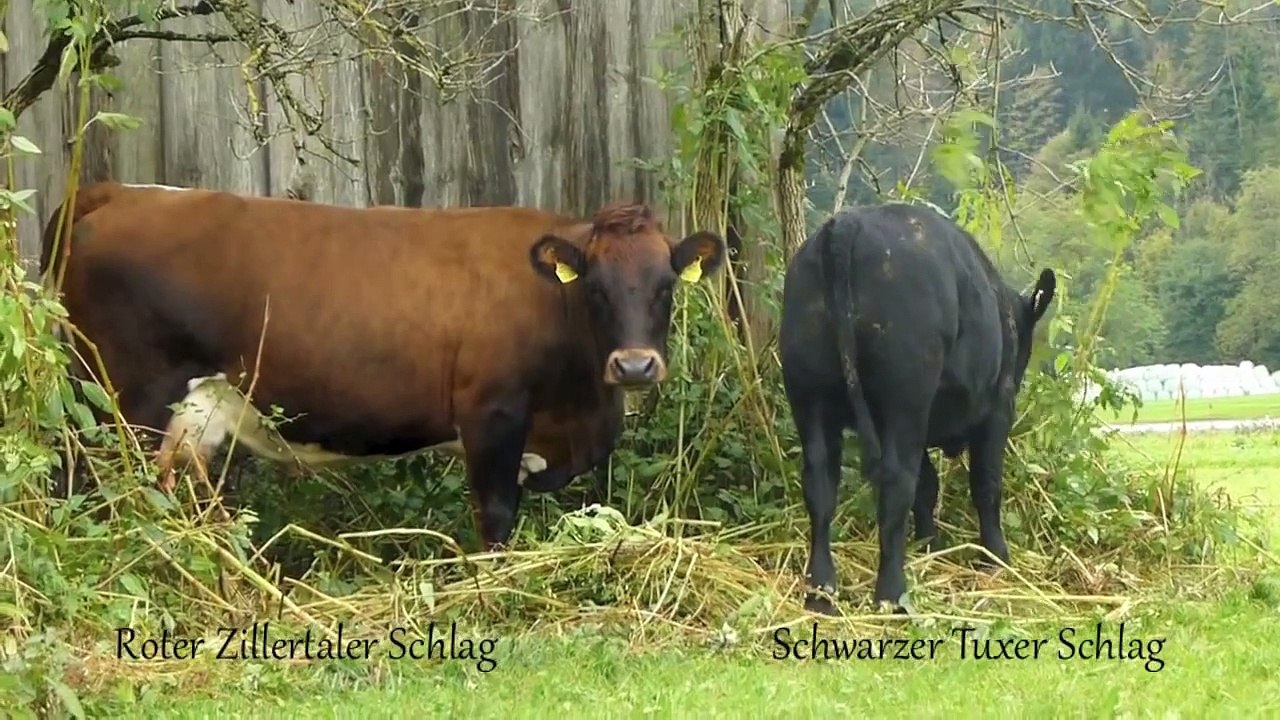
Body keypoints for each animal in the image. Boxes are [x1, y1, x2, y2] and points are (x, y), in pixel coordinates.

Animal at [39, 181, 726, 547]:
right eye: (596, 290)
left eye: (666, 285)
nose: (634, 367)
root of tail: (115, 193)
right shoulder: (491, 414)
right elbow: (496, 515)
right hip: (118, 404)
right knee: (92, 488)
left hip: (188, 415)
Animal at [778, 203, 1055, 614]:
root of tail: (847, 224)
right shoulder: (997, 409)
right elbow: (985, 483)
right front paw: (995, 558)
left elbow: (929, 485)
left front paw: (928, 547)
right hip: (904, 397)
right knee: (897, 482)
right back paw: (892, 594)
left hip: (810, 394)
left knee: (821, 483)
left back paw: (821, 591)